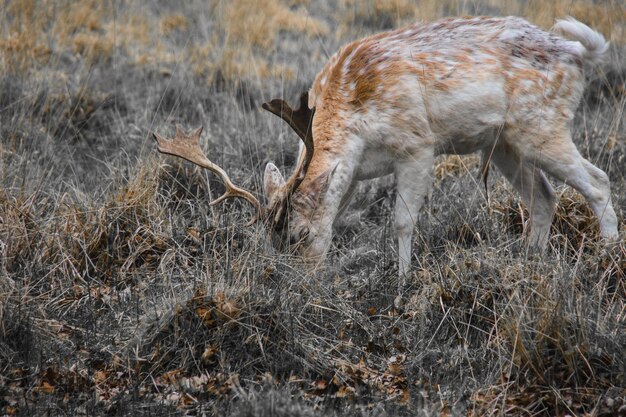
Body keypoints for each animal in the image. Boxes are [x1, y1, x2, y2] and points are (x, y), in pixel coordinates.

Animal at [154, 15, 616, 282]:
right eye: (270, 240)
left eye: (301, 234)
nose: (297, 283)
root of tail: (577, 51)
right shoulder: (356, 174)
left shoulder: (417, 146)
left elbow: (401, 223)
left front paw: (401, 284)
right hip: (504, 143)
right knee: (544, 196)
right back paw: (529, 261)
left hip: (542, 125)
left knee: (598, 180)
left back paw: (608, 259)